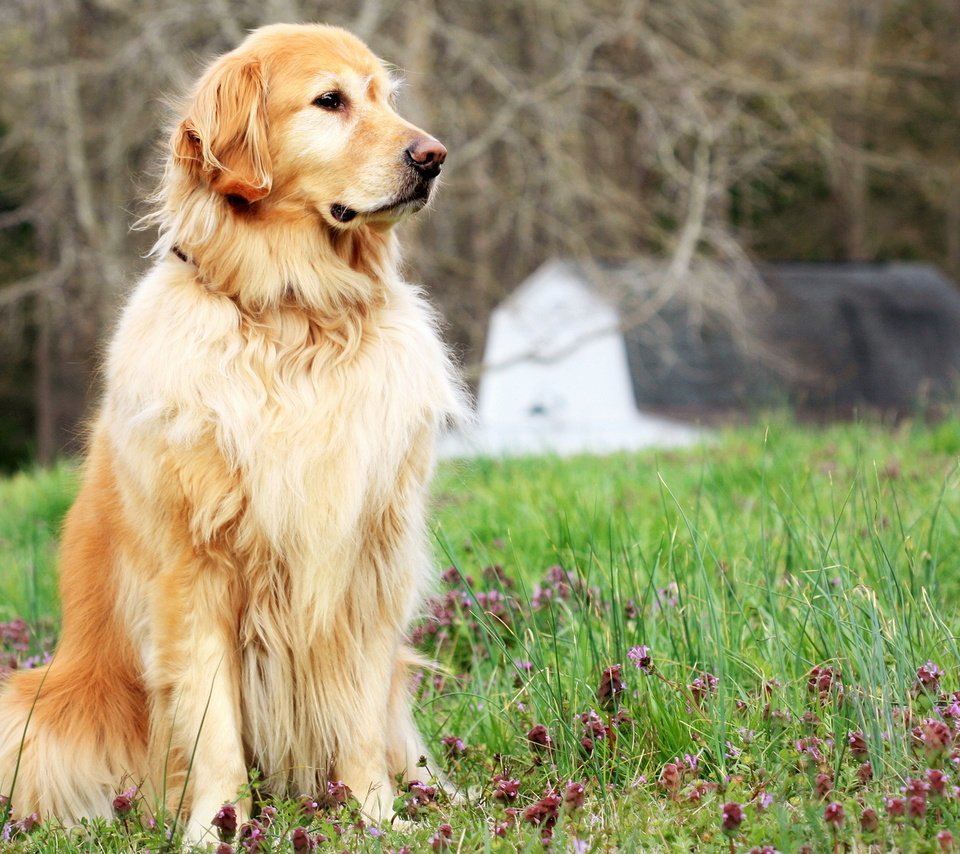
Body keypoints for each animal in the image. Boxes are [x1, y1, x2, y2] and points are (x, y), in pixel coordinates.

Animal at [0, 23, 464, 844]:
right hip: (29, 710)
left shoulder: (364, 566)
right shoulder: (195, 574)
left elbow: (358, 721)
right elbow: (213, 726)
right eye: (330, 101)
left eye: (385, 98)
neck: (294, 316)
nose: (434, 156)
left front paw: (378, 819)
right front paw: (215, 830)